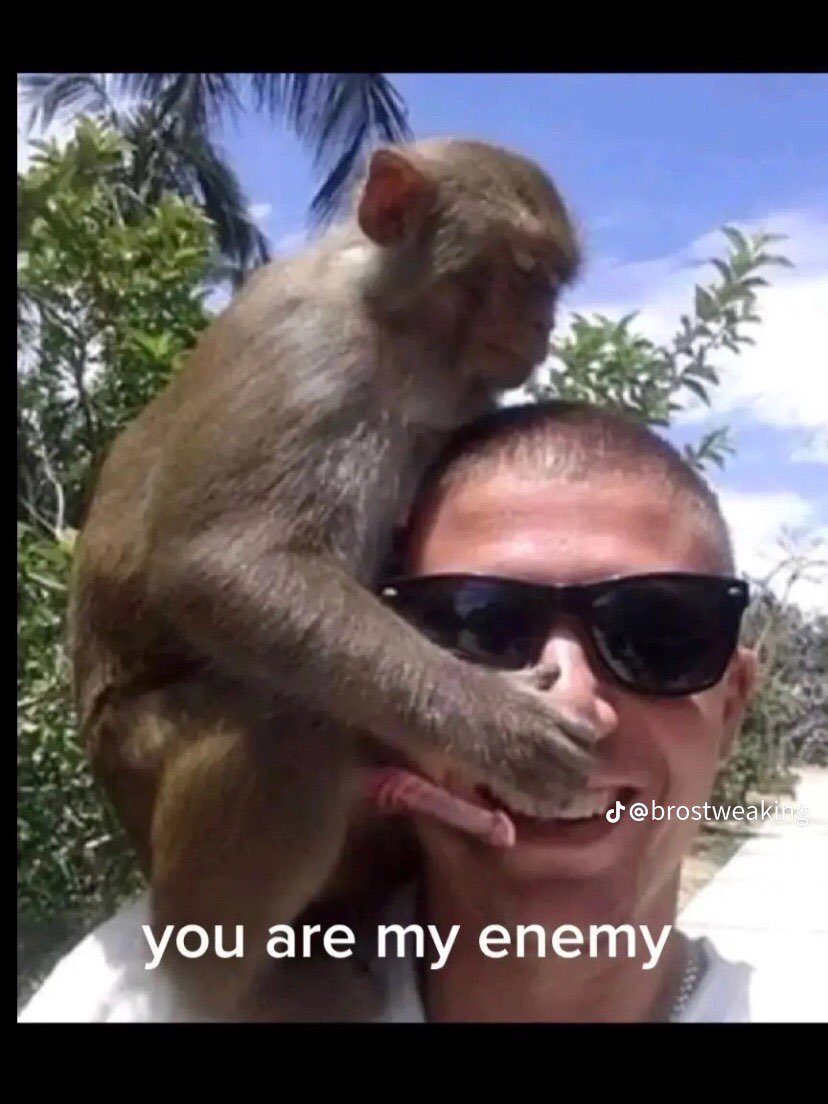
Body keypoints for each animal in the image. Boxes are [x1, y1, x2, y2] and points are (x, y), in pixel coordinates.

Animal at [68, 138, 599, 1021]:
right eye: (525, 272)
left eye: (553, 283)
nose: (544, 322)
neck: (388, 326)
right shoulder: (306, 348)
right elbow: (221, 564)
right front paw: (499, 725)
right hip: (137, 764)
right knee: (285, 717)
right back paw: (229, 980)